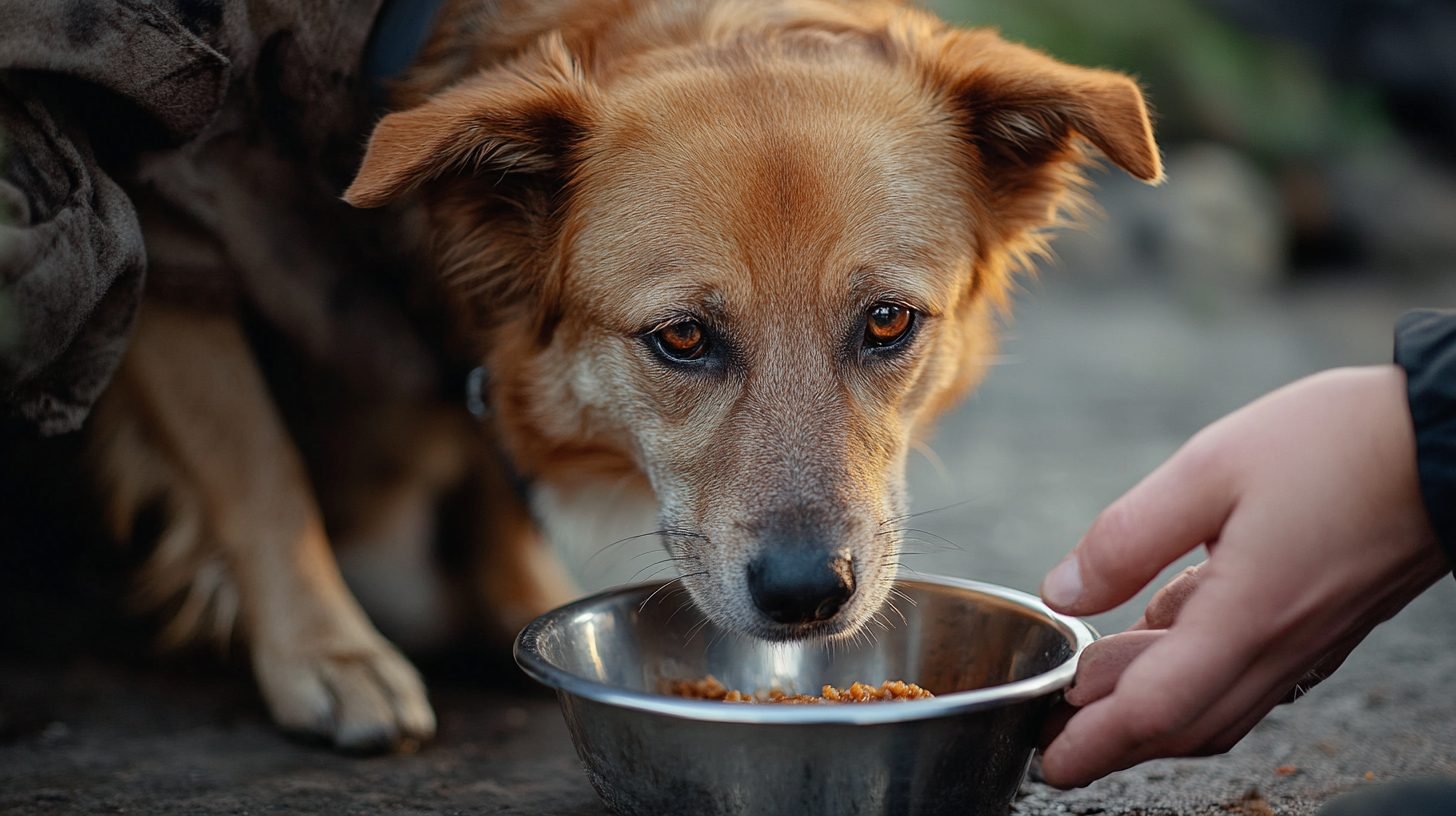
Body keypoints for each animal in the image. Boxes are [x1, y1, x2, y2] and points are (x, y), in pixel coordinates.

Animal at [88, 0, 1158, 751]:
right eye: (682, 338)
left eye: (888, 321)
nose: (809, 596)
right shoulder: (161, 217)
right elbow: (253, 463)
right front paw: (327, 653)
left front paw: (518, 598)